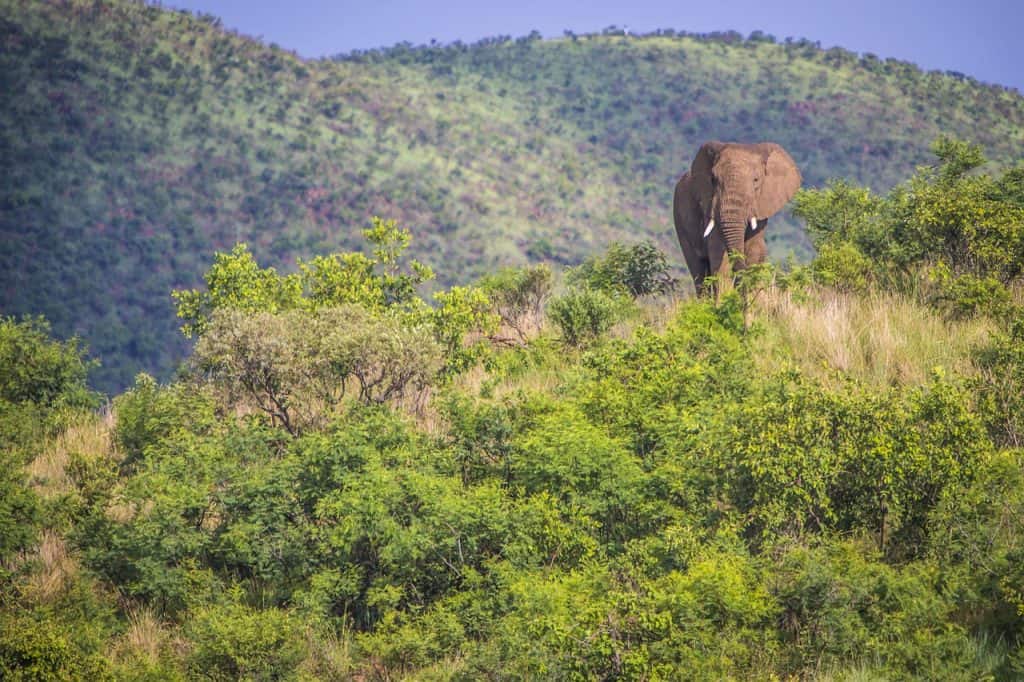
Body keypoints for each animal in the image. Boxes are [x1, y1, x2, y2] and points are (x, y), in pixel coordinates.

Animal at [675, 140, 802, 292]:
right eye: (714, 179)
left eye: (756, 180)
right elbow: (719, 254)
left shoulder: (761, 206)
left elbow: (754, 250)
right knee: (698, 269)